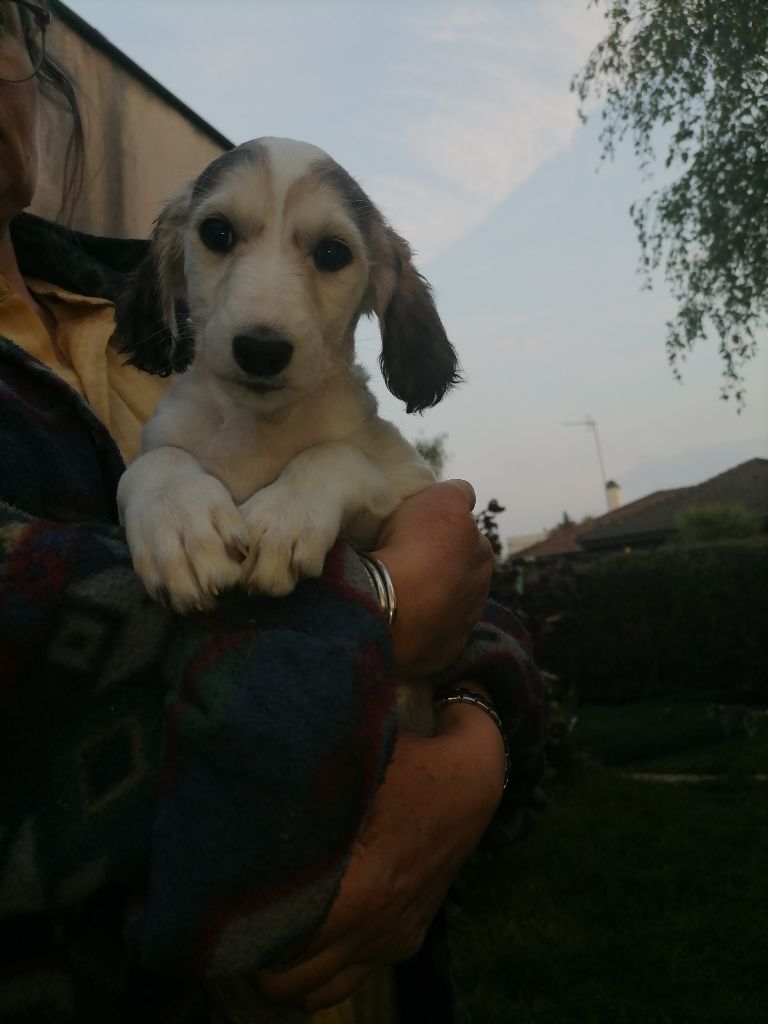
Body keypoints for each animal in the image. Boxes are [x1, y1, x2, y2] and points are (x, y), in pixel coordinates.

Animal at [116, 138, 460, 719]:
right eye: (217, 233)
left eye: (332, 253)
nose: (261, 350)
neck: (256, 427)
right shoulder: (162, 440)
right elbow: (155, 462)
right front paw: (181, 525)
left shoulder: (409, 484)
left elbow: (335, 455)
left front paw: (284, 518)